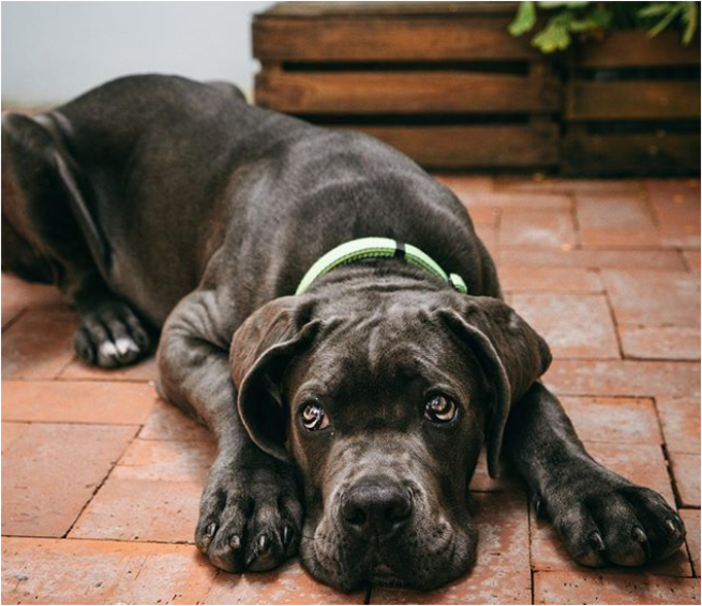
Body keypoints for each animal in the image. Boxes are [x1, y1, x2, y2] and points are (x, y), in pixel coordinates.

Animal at [0, 76, 684, 592]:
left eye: (441, 407)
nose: (375, 510)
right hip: (25, 143)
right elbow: (234, 397)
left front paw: (604, 495)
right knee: (76, 272)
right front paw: (250, 497)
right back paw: (108, 323)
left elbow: (544, 417)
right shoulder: (188, 329)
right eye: (310, 415)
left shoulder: (507, 344)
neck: (371, 255)